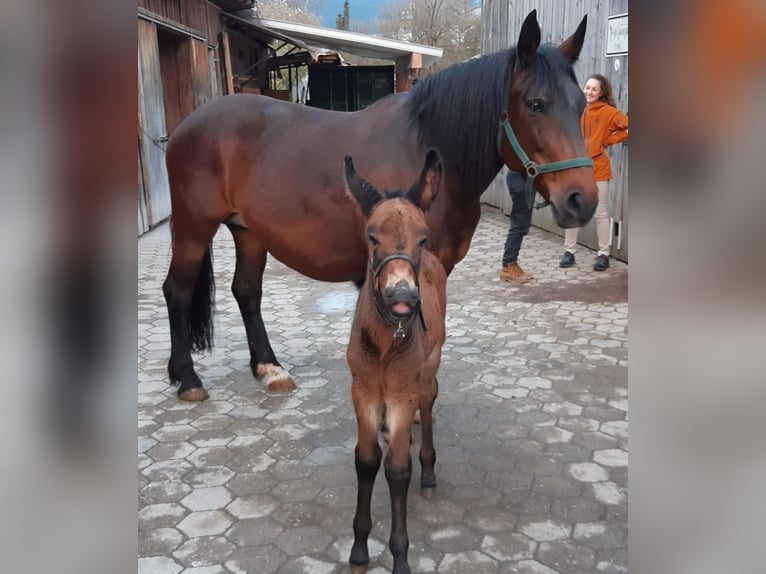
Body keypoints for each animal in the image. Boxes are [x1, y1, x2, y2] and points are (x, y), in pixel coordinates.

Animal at [162, 9, 597, 401]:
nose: (582, 200)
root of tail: (187, 125)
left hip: (248, 230)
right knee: (177, 291)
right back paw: (188, 379)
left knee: (247, 292)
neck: (427, 155)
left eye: (581, 105)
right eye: (536, 103)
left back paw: (269, 369)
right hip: (193, 226)